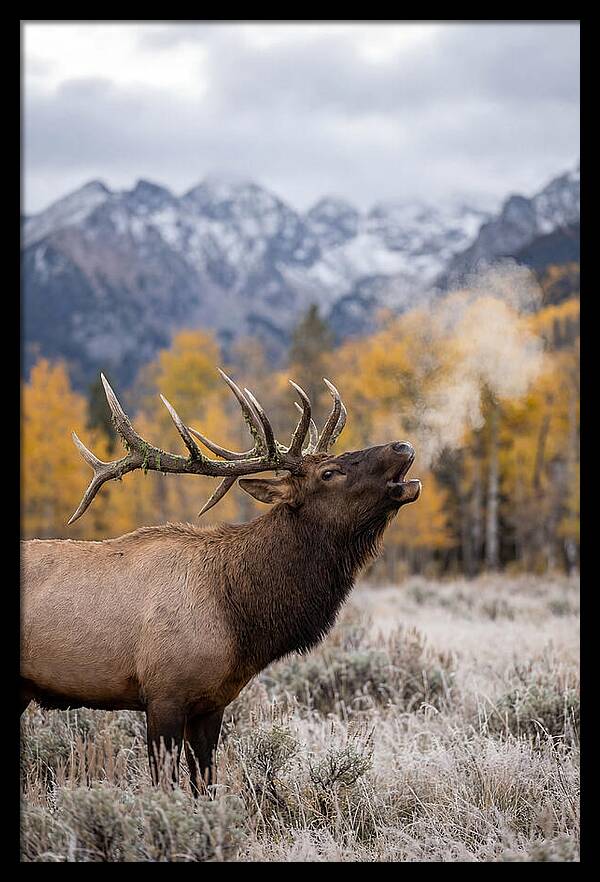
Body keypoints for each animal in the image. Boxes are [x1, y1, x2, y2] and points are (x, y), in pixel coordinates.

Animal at [21, 369, 421, 795]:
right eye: (328, 473)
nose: (402, 446)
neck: (239, 619)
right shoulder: (163, 694)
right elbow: (165, 785)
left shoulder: (212, 703)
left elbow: (206, 783)